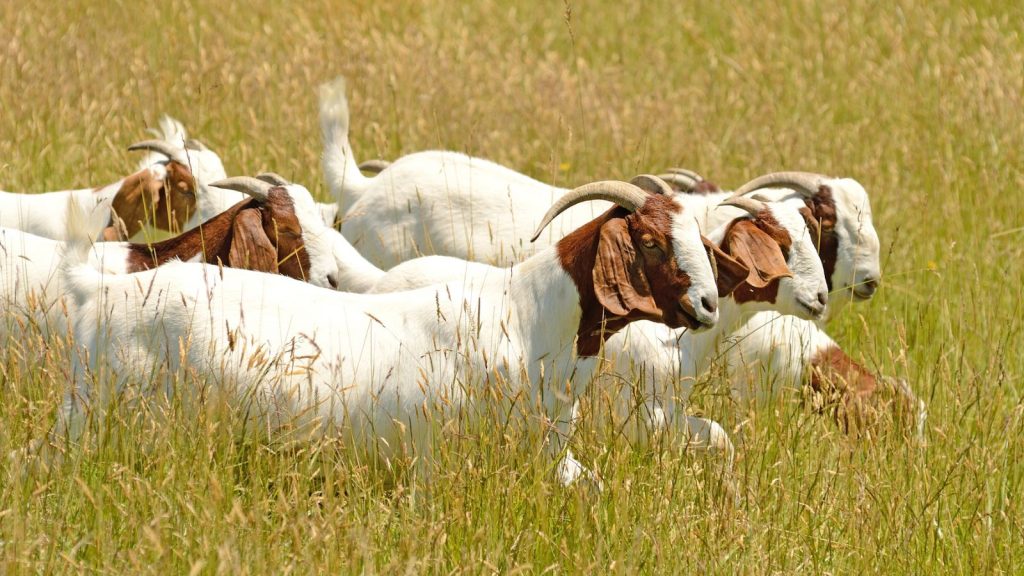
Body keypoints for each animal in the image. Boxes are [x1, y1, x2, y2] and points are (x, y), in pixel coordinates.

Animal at [48, 179, 732, 486]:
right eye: (649, 241)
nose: (707, 305)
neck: (524, 316)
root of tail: (98, 290)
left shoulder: (547, 455)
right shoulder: (436, 459)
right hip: (99, 415)